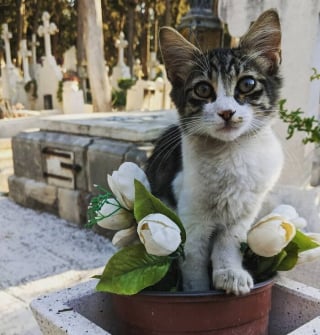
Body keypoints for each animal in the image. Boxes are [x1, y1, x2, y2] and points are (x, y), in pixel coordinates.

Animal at [146, 9, 284, 296]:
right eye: (202, 89)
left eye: (247, 84)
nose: (226, 112)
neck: (232, 154)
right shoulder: (191, 218)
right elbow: (194, 263)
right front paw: (197, 293)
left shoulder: (243, 215)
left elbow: (228, 245)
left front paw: (230, 274)